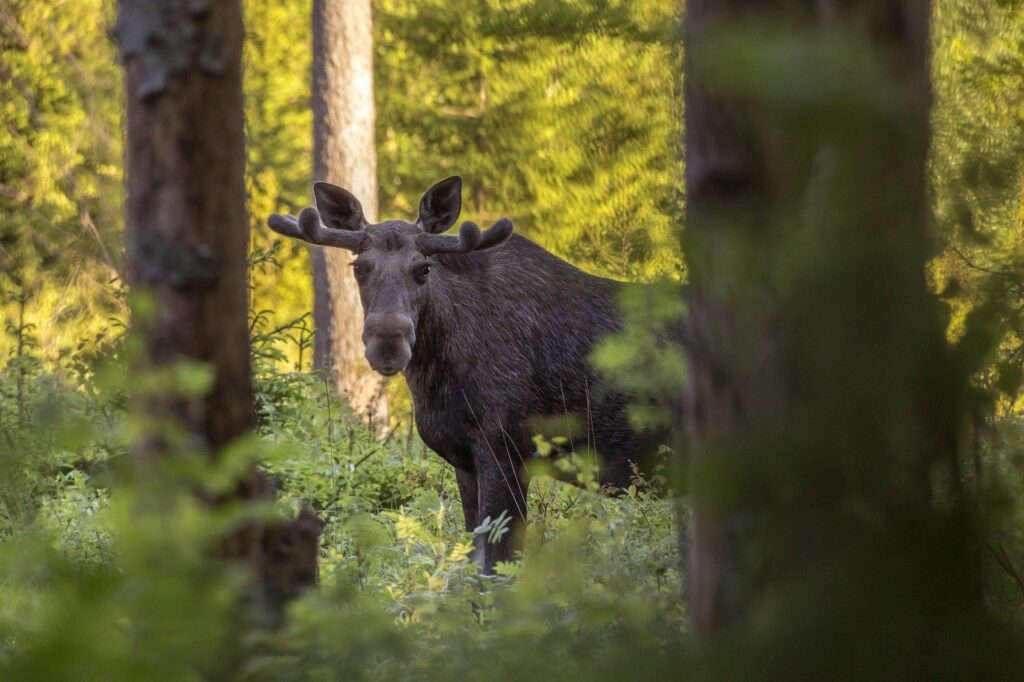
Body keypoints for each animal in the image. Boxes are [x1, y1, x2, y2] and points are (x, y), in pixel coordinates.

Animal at [268, 175, 684, 569]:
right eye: (358, 267)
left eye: (424, 268)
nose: (387, 343)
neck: (437, 380)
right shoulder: (464, 460)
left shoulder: (507, 450)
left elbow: (496, 568)